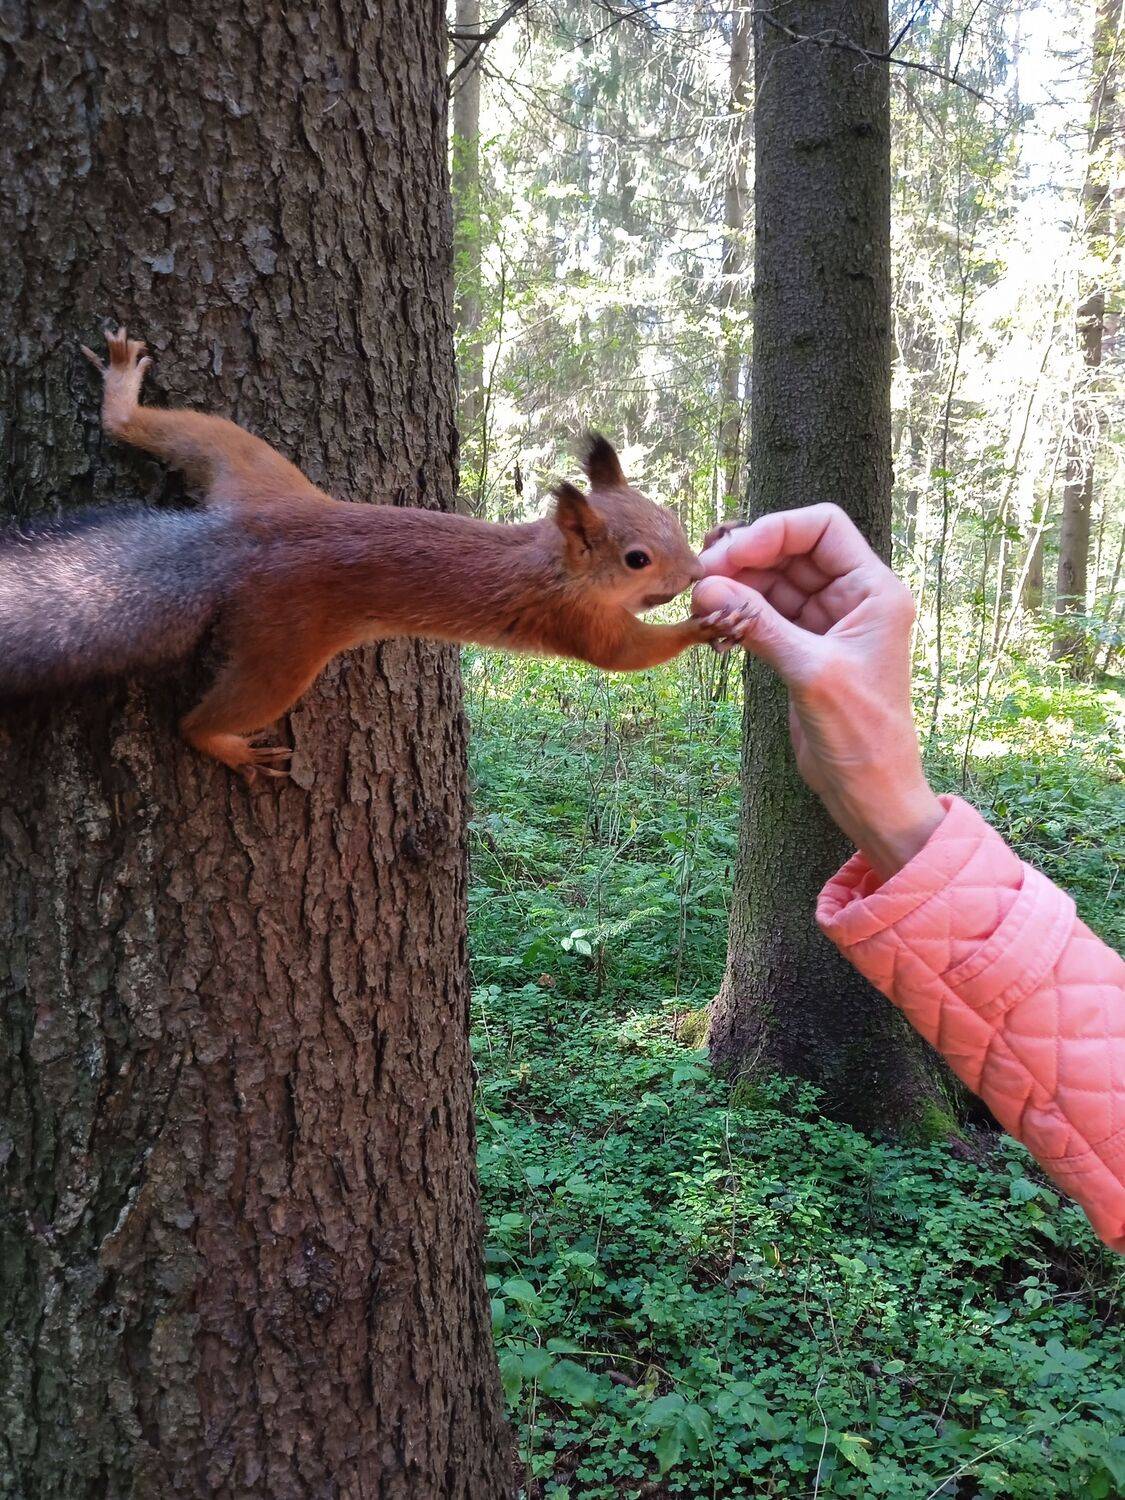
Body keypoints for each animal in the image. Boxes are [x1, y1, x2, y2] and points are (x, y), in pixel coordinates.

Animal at [0, 328, 730, 779]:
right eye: (637, 559)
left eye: (671, 517)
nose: (696, 571)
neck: (553, 561)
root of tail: (231, 542)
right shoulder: (567, 619)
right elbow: (622, 655)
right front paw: (702, 627)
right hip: (285, 645)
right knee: (201, 720)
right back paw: (226, 744)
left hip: (248, 462)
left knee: (156, 429)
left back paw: (122, 395)